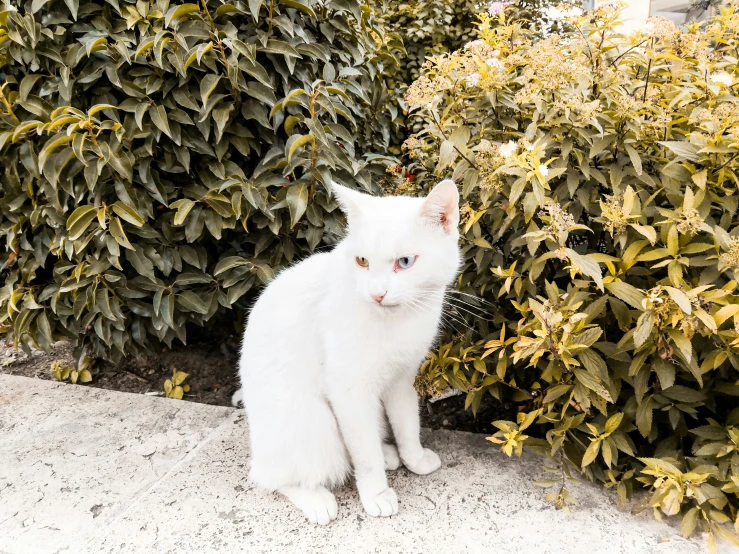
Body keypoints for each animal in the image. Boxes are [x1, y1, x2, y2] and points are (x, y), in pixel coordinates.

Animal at [234, 180, 460, 520]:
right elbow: (365, 456)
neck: (397, 319)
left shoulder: (402, 380)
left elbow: (408, 425)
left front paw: (415, 460)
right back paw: (316, 500)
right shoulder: (348, 391)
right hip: (315, 423)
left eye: (405, 262)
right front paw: (376, 494)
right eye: (362, 261)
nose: (377, 293)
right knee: (272, 476)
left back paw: (388, 454)